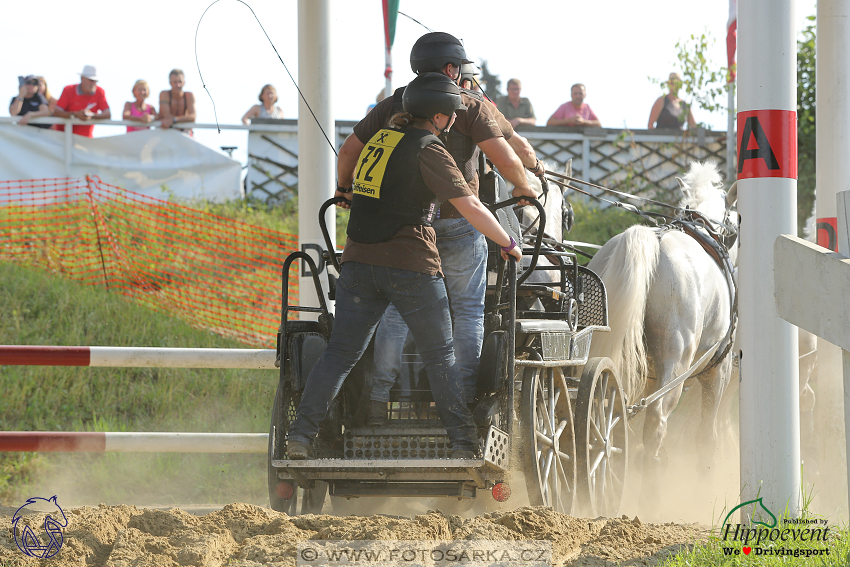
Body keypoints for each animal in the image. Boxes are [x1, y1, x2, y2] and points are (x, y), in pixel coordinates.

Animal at [584, 160, 736, 506]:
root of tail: (652, 242)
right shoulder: (718, 371)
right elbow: (707, 437)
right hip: (676, 364)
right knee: (655, 423)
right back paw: (650, 497)